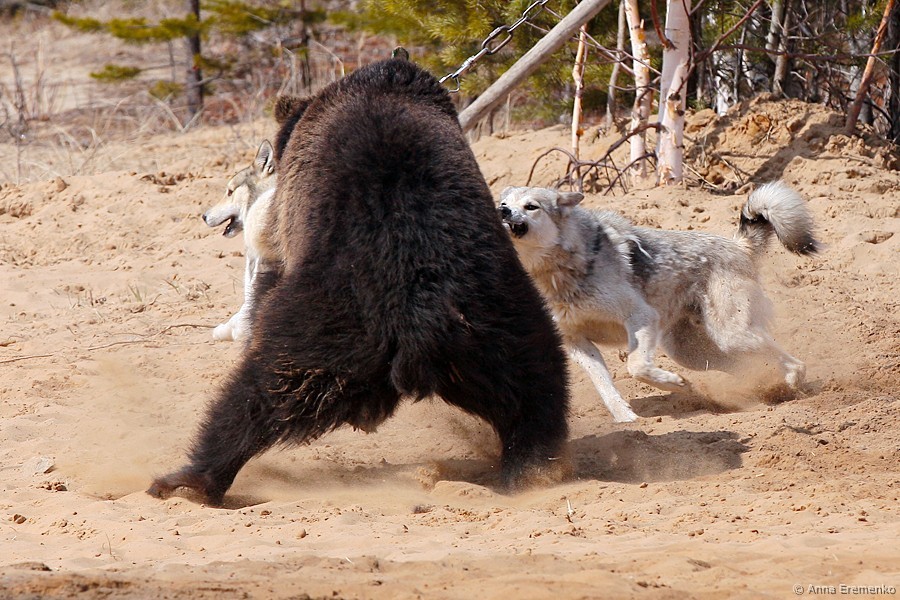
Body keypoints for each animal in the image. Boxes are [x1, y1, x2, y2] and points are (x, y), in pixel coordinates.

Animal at [498, 182, 819, 423]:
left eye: (530, 206)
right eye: (503, 202)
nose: (502, 210)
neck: (557, 272)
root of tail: (737, 245)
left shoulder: (640, 317)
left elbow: (636, 367)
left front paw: (674, 384)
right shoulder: (576, 342)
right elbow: (605, 387)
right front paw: (626, 418)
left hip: (731, 337)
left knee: (793, 362)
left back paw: (792, 388)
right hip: (694, 353)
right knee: (753, 368)